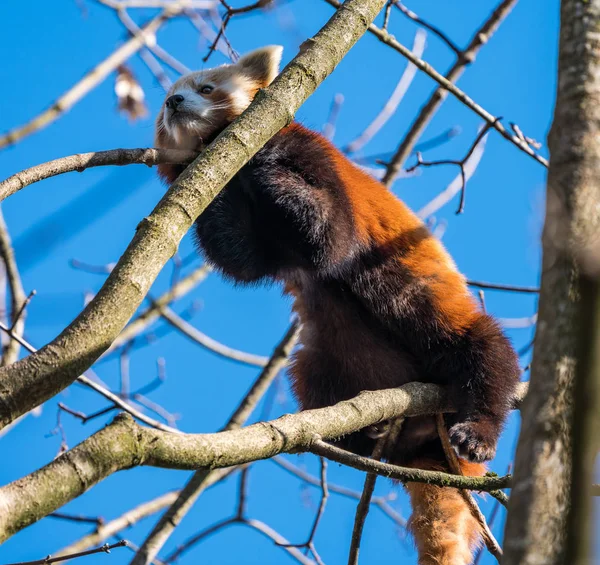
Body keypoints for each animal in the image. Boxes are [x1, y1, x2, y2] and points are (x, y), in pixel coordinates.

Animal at [155, 45, 520, 564]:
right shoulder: (258, 235)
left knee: (487, 353)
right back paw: (364, 437)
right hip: (334, 358)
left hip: (438, 320)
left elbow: (329, 236)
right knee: (311, 375)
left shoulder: (314, 163)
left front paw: (263, 159)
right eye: (167, 102)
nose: (175, 102)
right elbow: (241, 257)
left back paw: (477, 430)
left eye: (205, 88)